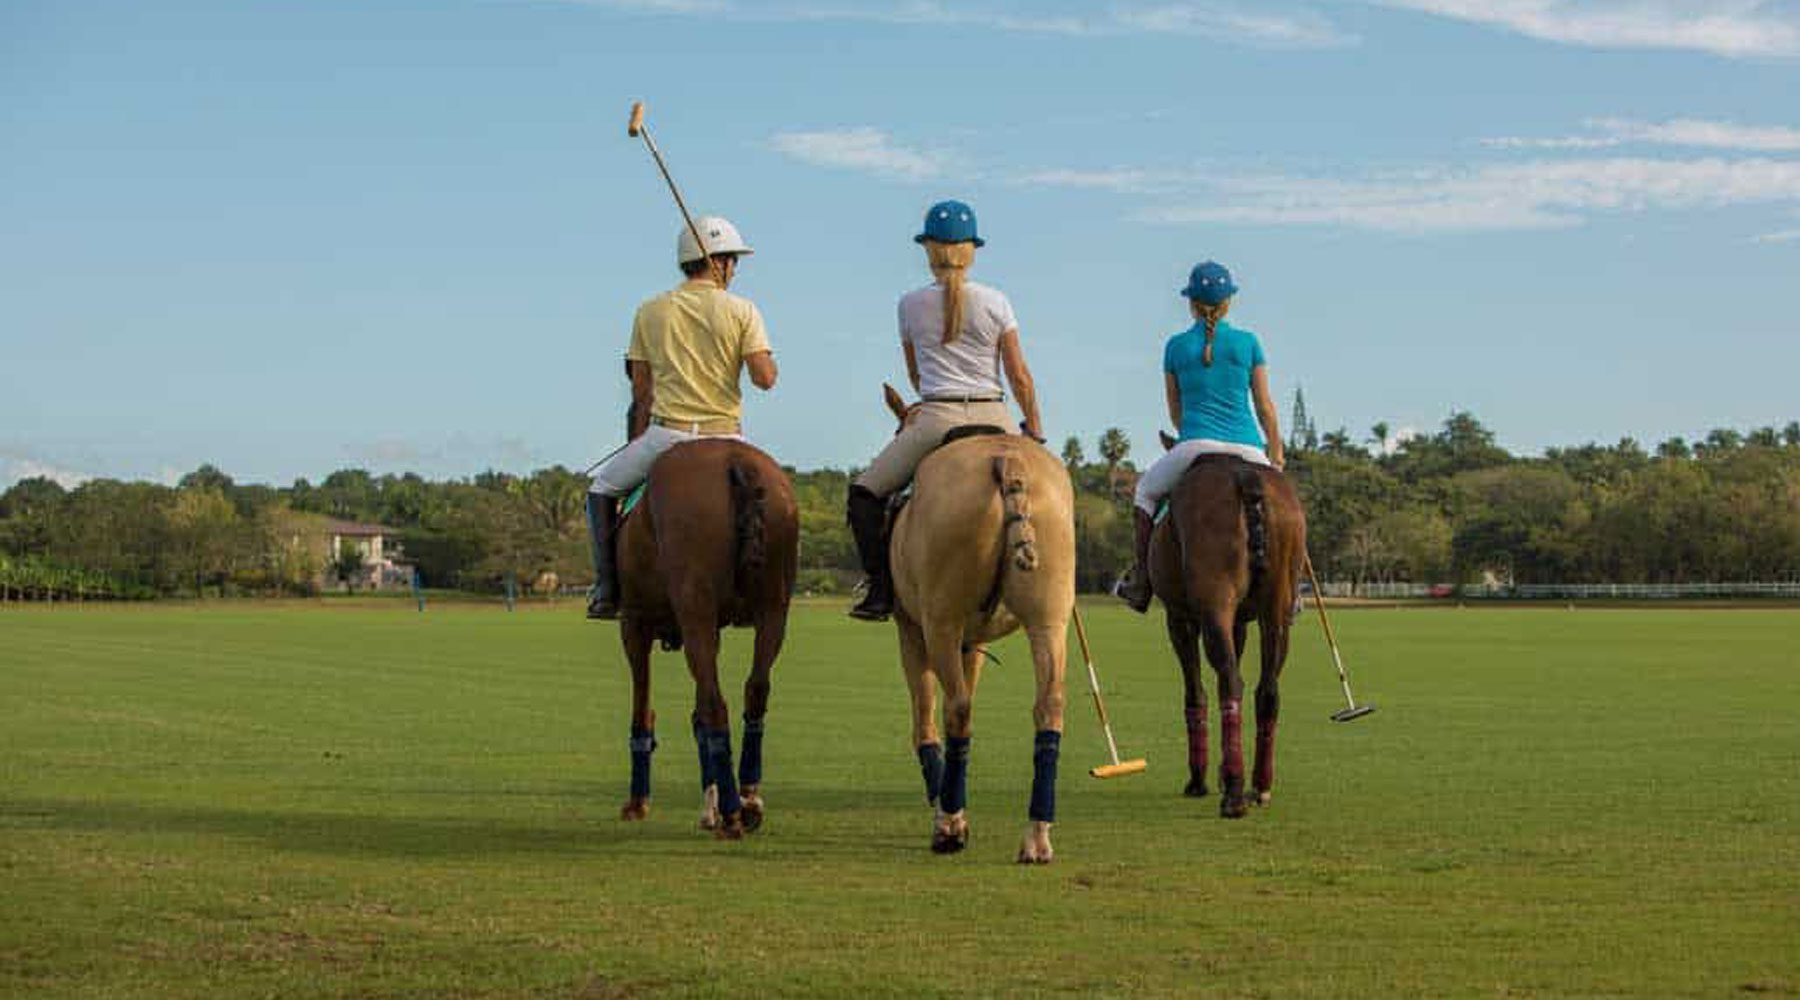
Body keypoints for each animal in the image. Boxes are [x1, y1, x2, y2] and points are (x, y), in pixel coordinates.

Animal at [612, 437, 795, 834]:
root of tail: (735, 460)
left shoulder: (634, 623)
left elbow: (642, 705)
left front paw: (638, 802)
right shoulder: (710, 628)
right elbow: (697, 715)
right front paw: (708, 808)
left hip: (693, 606)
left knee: (716, 704)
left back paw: (732, 813)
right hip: (773, 607)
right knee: (755, 689)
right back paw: (748, 800)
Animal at [882, 386, 1072, 863]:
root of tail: (1007, 460)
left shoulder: (913, 630)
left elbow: (924, 719)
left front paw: (947, 813)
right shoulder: (972, 640)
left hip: (941, 621)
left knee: (956, 710)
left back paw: (949, 827)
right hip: (1050, 618)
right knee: (1049, 705)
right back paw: (1036, 835)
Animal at [1152, 433, 1310, 816]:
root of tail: (1245, 477)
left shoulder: (1178, 616)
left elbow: (1195, 690)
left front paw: (1200, 780)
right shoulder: (1238, 620)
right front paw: (1222, 774)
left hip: (1214, 599)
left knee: (1230, 681)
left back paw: (1234, 795)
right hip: (1277, 604)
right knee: (1267, 689)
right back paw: (1259, 786)